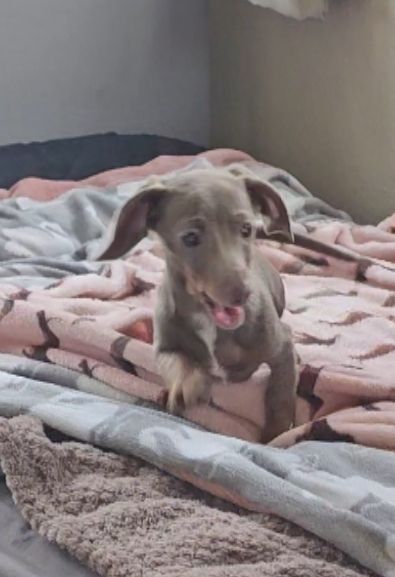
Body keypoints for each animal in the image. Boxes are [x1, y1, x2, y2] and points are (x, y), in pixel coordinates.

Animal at [98, 166, 296, 440]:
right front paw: (187, 383)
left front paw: (278, 432)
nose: (243, 294)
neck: (209, 321)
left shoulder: (282, 345)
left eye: (246, 229)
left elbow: (281, 393)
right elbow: (179, 361)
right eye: (190, 238)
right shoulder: (164, 348)